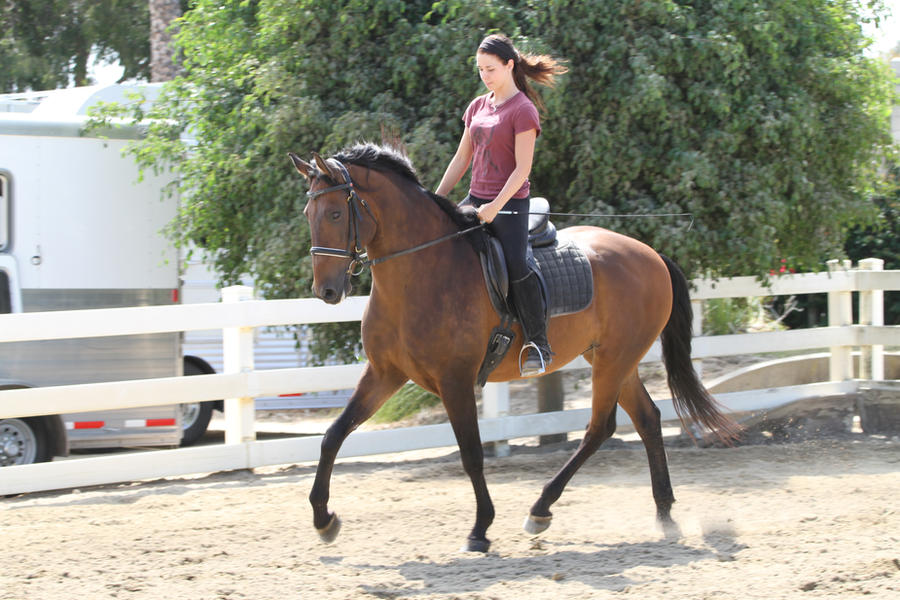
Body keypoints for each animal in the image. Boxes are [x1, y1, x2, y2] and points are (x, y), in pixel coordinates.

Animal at [288, 142, 740, 552]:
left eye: (335, 213)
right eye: (309, 215)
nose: (327, 292)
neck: (420, 273)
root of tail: (651, 254)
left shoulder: (455, 380)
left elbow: (471, 453)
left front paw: (480, 528)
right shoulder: (385, 373)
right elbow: (333, 434)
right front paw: (323, 518)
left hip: (614, 361)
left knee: (600, 428)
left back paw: (541, 509)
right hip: (612, 359)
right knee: (647, 419)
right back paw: (663, 514)